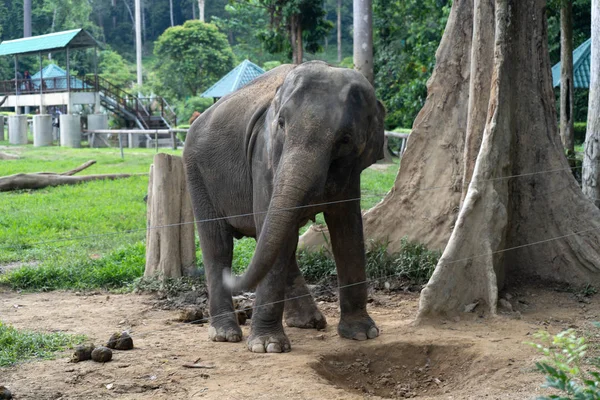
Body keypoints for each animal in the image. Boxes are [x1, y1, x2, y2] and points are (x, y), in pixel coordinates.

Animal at [183, 60, 384, 354]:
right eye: (281, 124)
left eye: (345, 139)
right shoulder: (263, 157)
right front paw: (267, 347)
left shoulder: (351, 170)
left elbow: (347, 229)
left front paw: (362, 334)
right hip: (196, 173)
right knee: (218, 245)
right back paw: (225, 334)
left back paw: (308, 322)